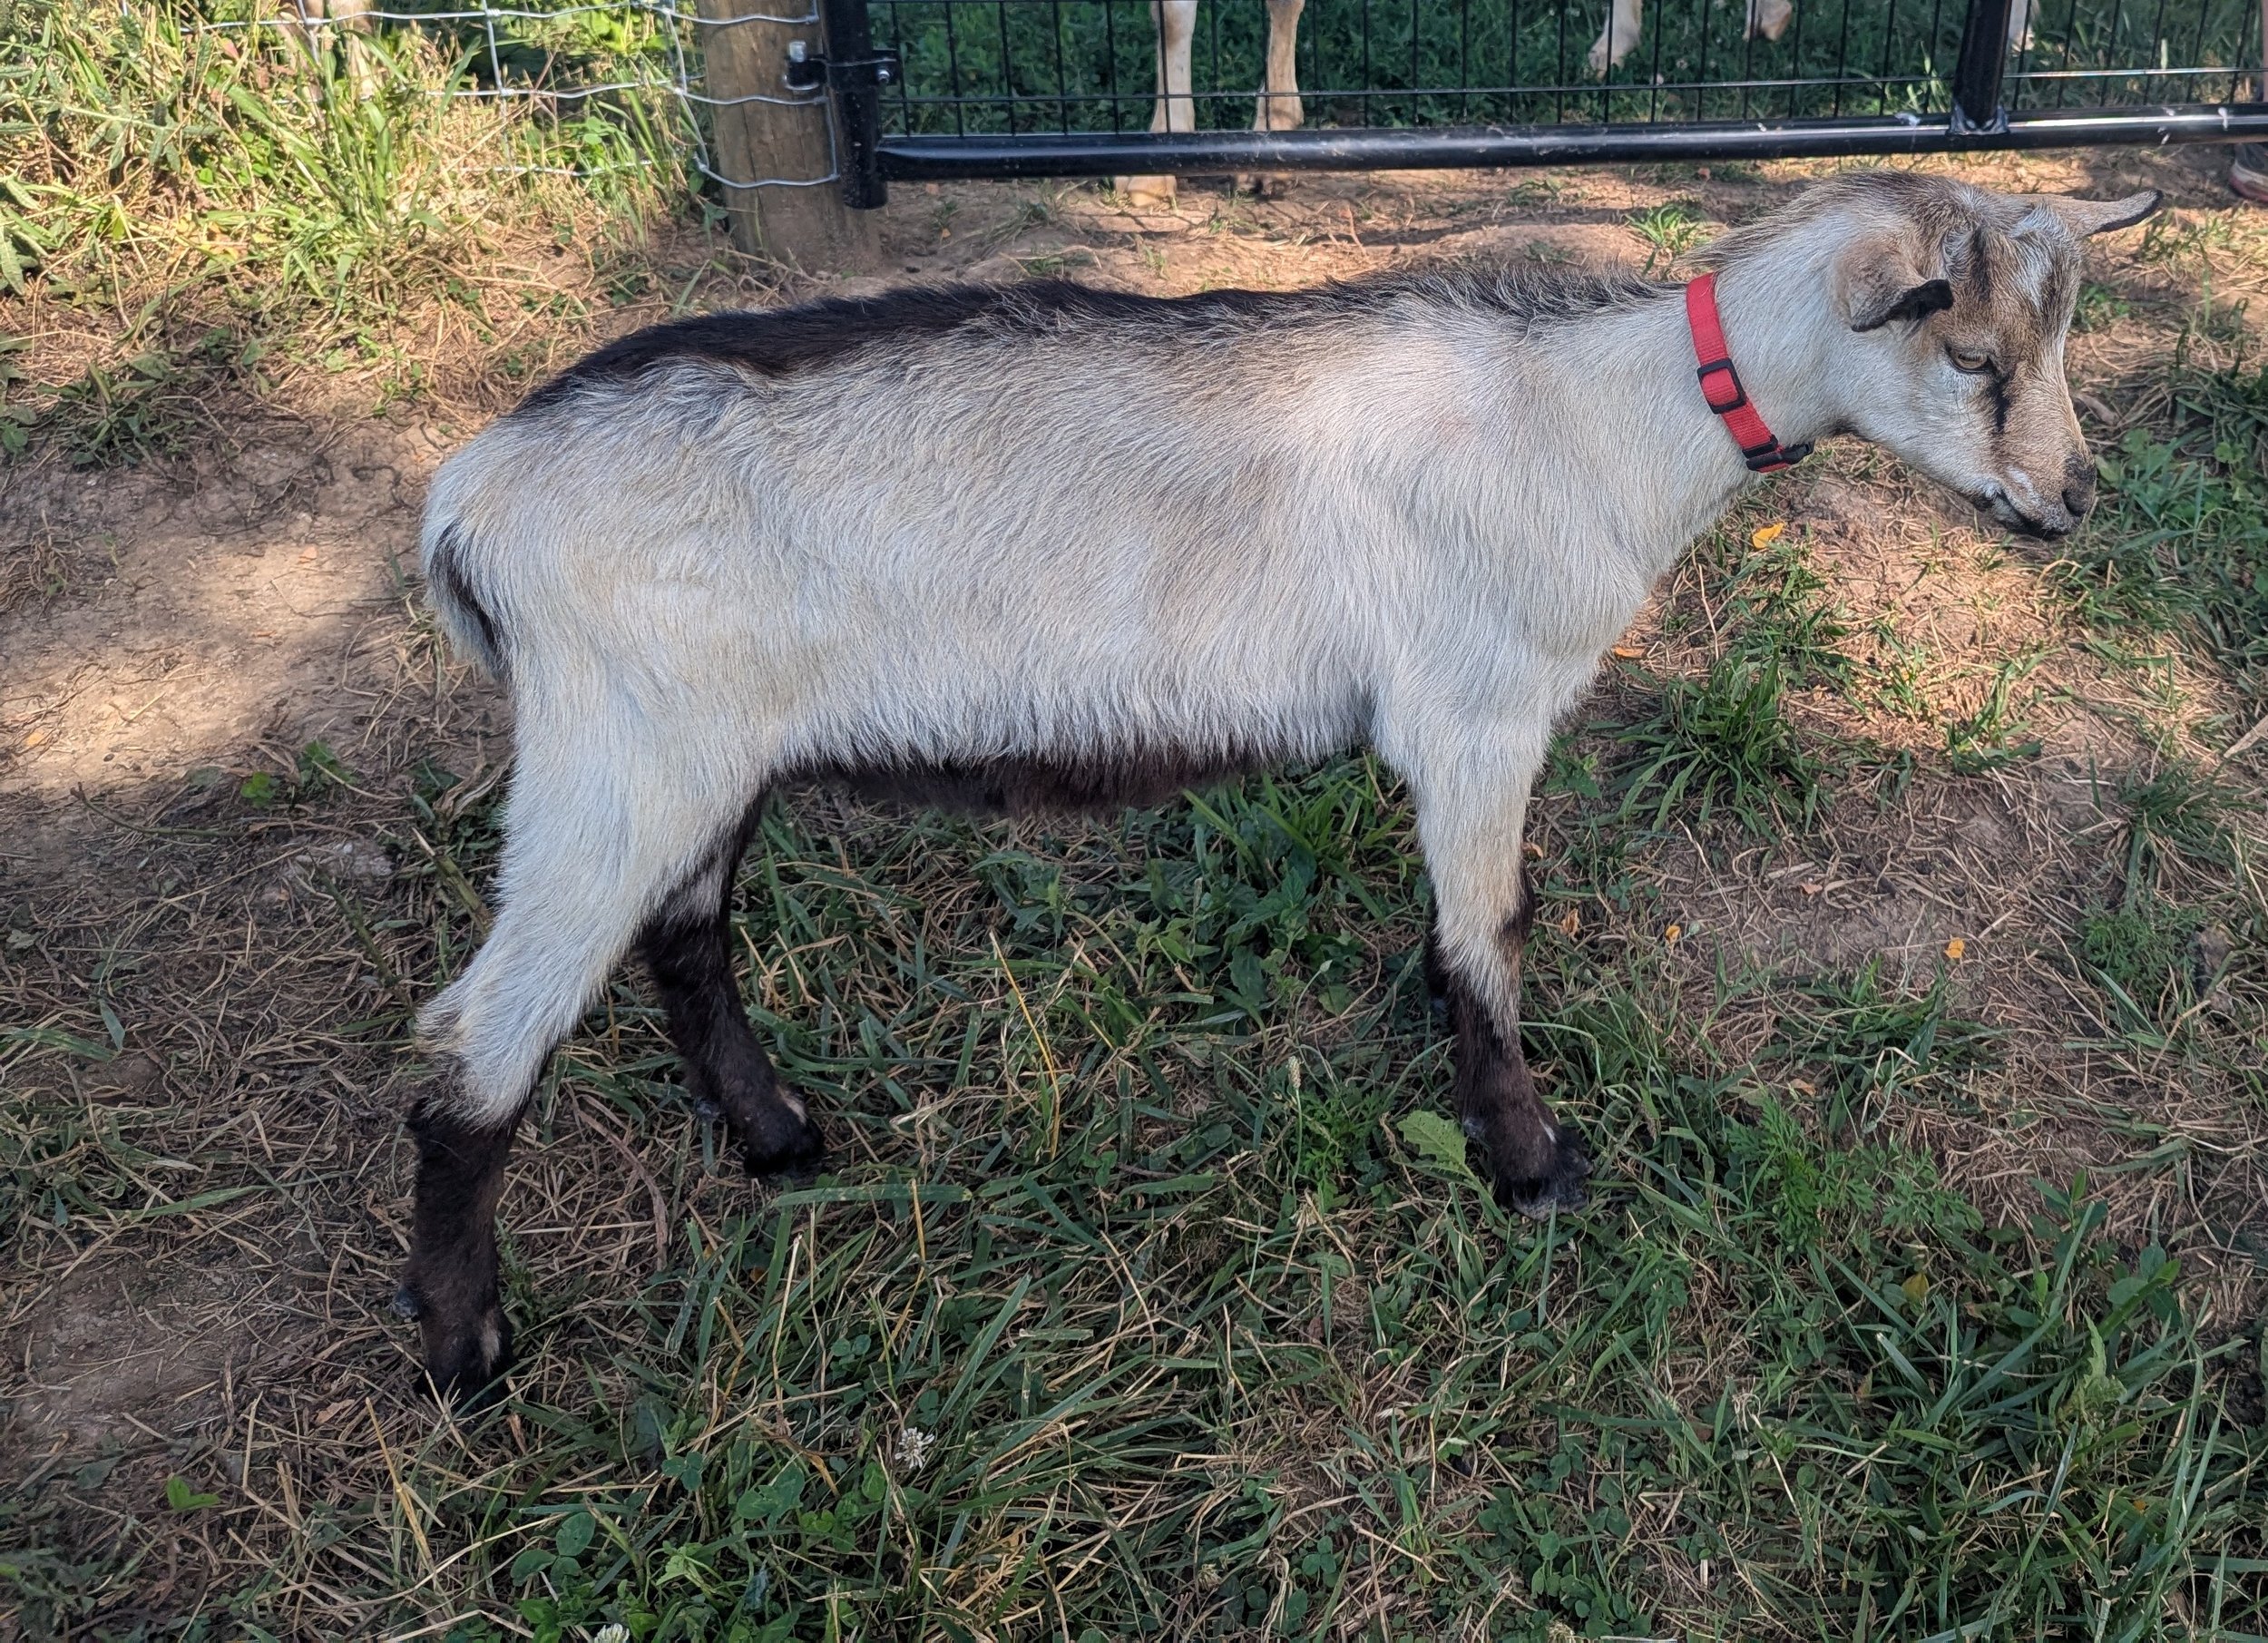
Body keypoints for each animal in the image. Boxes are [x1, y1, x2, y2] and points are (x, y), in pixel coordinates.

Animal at [400, 171, 2157, 1397]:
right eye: (1976, 353)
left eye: (2057, 344)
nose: (2073, 501)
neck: (1597, 418)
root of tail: (467, 502)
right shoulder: (1477, 709)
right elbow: (1493, 932)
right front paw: (1528, 1161)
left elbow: (1460, 929)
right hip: (616, 753)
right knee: (473, 1048)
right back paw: (466, 1351)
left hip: (703, 751)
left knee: (686, 935)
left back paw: (776, 1137)